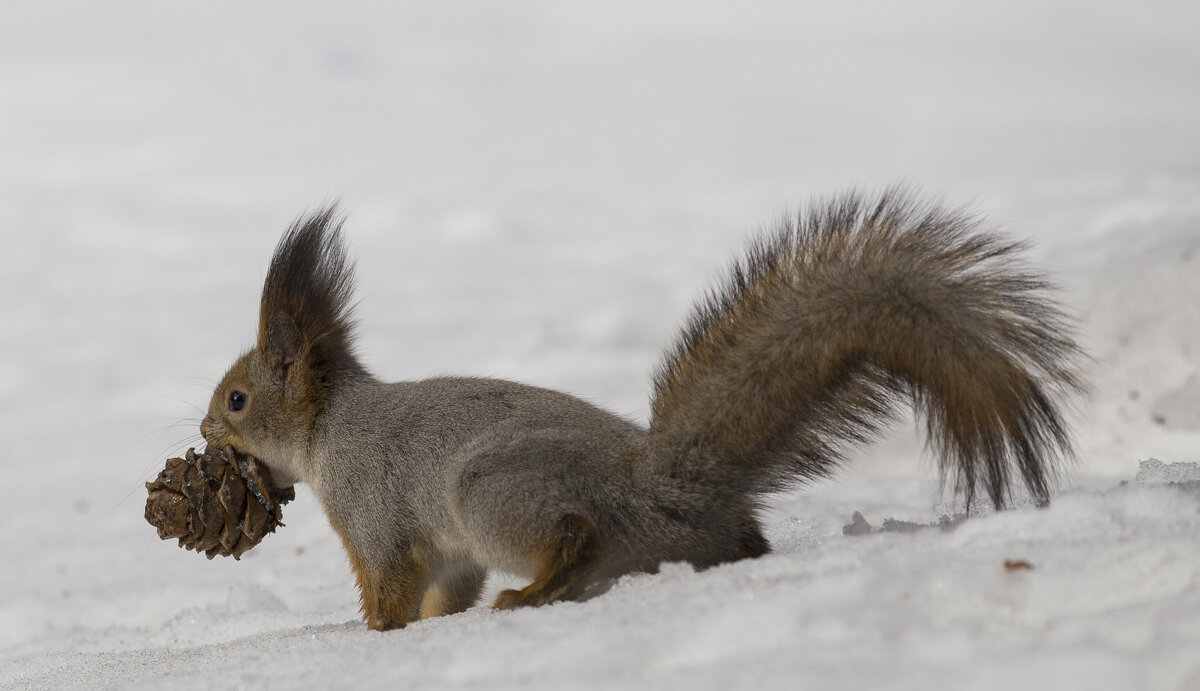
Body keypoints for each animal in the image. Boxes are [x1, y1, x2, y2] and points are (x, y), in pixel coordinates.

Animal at [199, 189, 1089, 633]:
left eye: (238, 397)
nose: (205, 431)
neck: (330, 429)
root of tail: (669, 487)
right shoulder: (447, 555)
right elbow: (444, 590)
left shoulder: (376, 510)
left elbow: (389, 582)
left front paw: (373, 637)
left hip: (492, 492)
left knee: (577, 537)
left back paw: (536, 592)